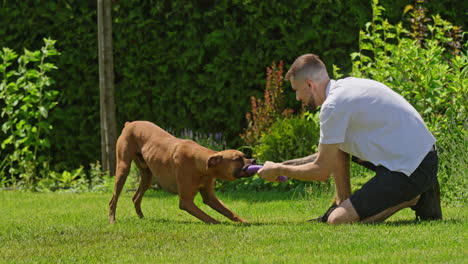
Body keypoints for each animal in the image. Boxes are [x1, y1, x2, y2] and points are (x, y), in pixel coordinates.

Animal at [108, 120, 258, 224]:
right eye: (237, 159)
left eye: (244, 155)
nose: (254, 160)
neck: (200, 163)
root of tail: (129, 124)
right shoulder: (186, 202)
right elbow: (208, 218)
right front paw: (220, 223)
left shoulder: (210, 198)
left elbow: (229, 212)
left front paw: (245, 222)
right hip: (123, 170)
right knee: (113, 200)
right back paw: (112, 220)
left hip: (147, 176)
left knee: (135, 198)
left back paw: (142, 218)